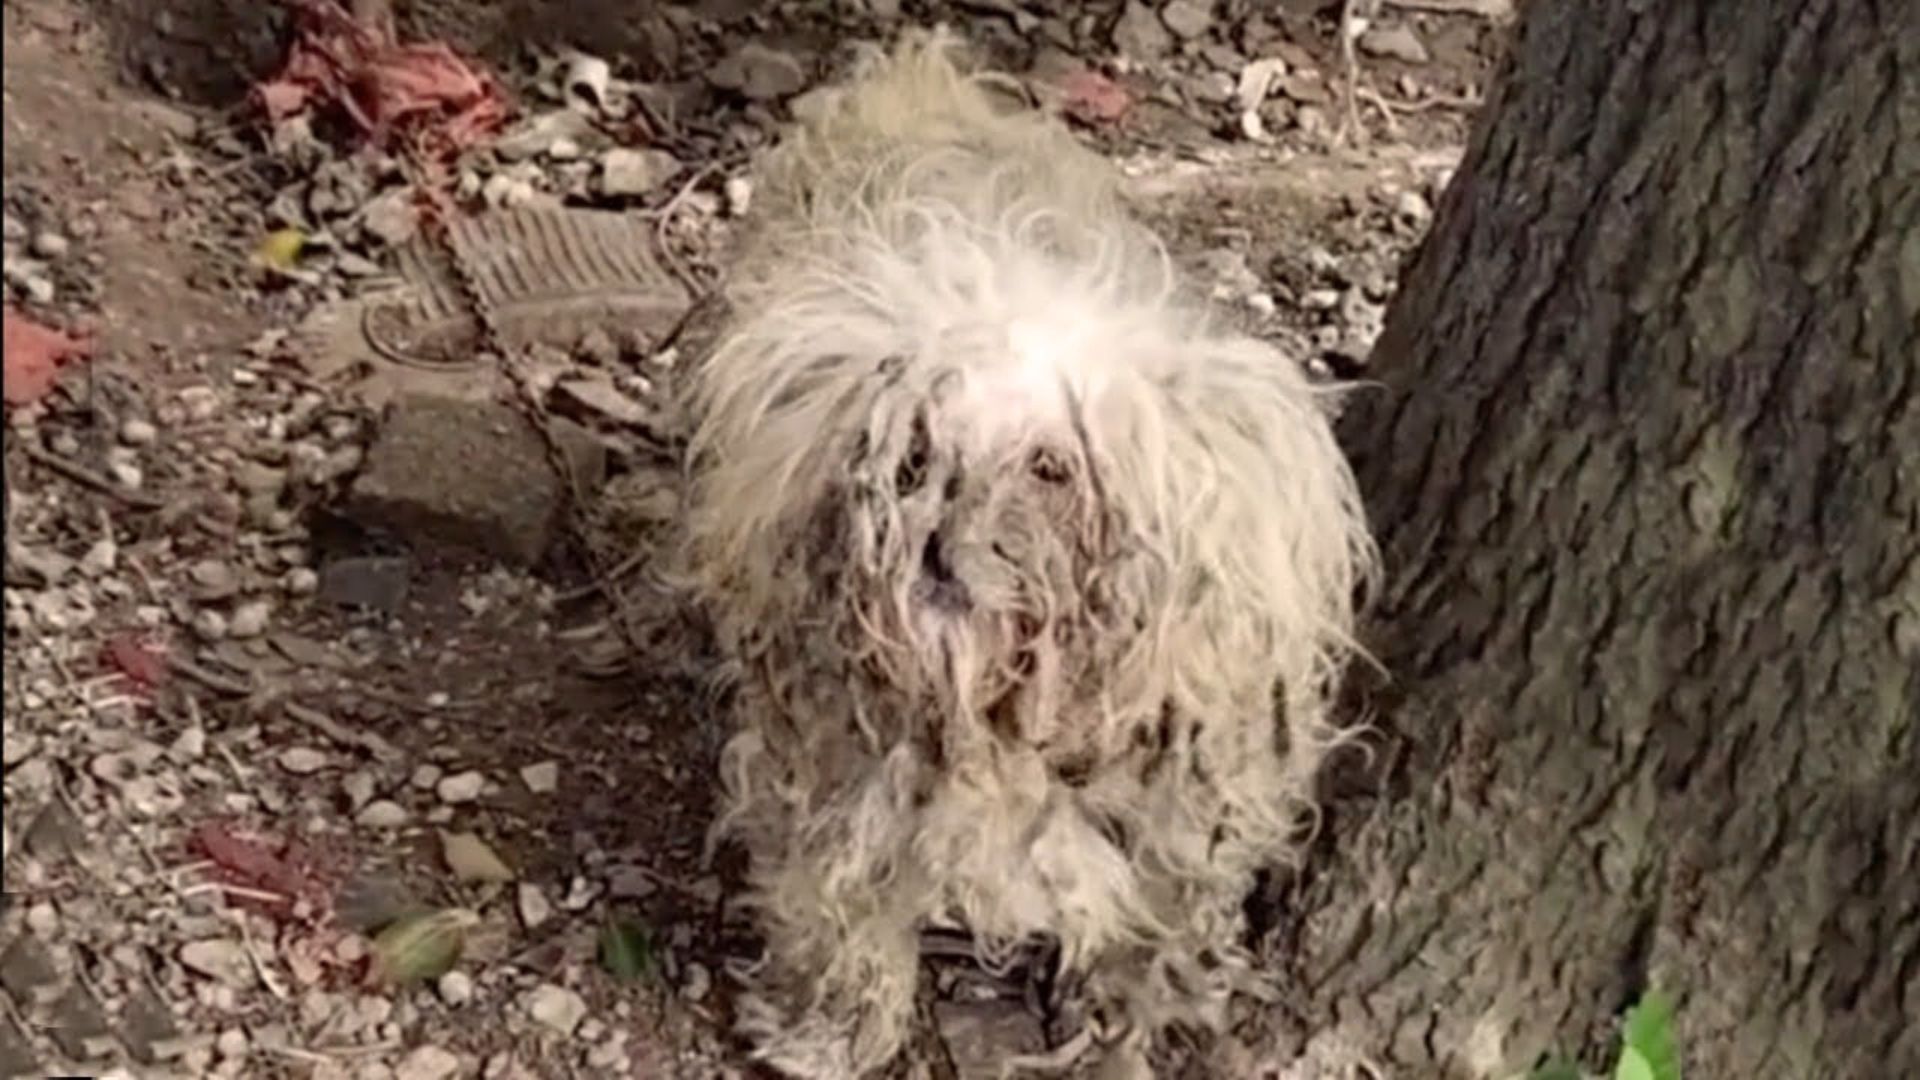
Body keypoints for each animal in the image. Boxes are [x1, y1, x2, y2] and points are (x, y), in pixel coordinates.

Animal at [675, 27, 1382, 1076]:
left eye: (1052, 466)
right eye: (915, 458)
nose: (941, 552)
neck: (1002, 721)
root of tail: (922, 67)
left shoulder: (1185, 818)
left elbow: (1157, 936)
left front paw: (1130, 1029)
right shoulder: (834, 779)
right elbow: (838, 908)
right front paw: (829, 1031)